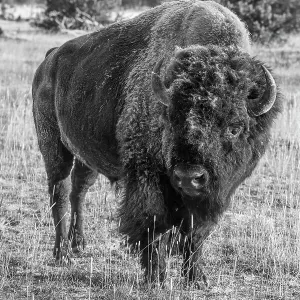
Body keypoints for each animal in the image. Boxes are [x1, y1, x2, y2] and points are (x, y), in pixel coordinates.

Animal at [32, 0, 282, 286]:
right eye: (171, 120)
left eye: (234, 127)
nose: (189, 177)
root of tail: (49, 59)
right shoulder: (148, 177)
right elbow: (153, 223)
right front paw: (156, 277)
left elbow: (196, 232)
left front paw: (196, 277)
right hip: (53, 147)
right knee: (60, 193)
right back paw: (62, 254)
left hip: (87, 157)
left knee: (78, 191)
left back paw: (79, 244)